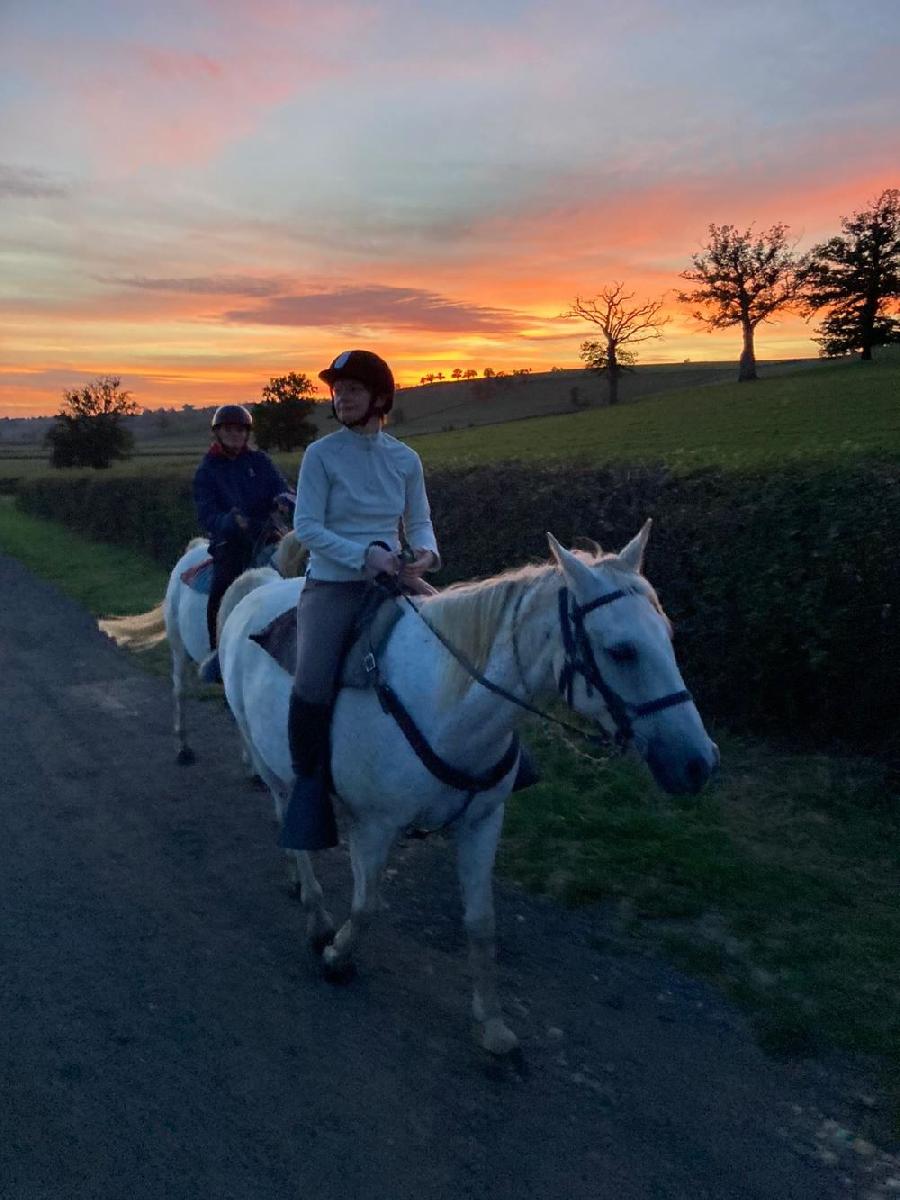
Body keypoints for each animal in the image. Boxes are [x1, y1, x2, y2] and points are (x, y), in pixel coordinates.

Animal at [218, 525, 720, 1060]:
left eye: (668, 636)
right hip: (269, 763)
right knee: (288, 820)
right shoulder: (375, 827)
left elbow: (481, 924)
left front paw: (492, 1025)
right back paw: (314, 913)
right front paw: (337, 955)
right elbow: (365, 905)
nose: (698, 762)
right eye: (622, 650)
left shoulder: (482, 823)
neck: (446, 705)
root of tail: (259, 588)